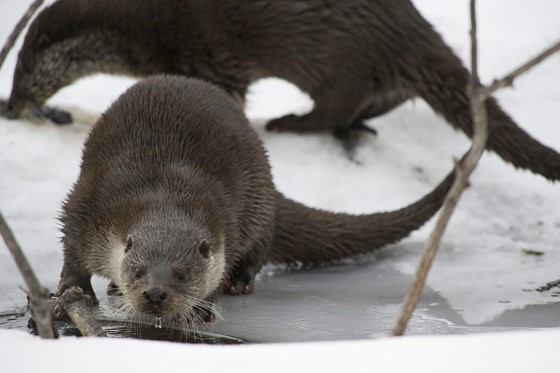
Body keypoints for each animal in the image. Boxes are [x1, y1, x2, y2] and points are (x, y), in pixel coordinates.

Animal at [7, 0, 560, 180]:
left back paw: (289, 122)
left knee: (334, 105)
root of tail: (410, 30)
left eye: (23, 72)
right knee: (385, 99)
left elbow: (224, 93)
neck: (143, 29)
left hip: (339, 61)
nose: (11, 106)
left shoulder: (204, 51)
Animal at [57, 75, 460, 322]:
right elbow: (72, 250)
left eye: (183, 273)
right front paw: (75, 290)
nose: (155, 294)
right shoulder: (88, 204)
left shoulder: (226, 220)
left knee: (259, 246)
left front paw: (203, 307)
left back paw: (241, 282)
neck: (159, 188)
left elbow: (226, 262)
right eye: (138, 270)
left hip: (258, 199)